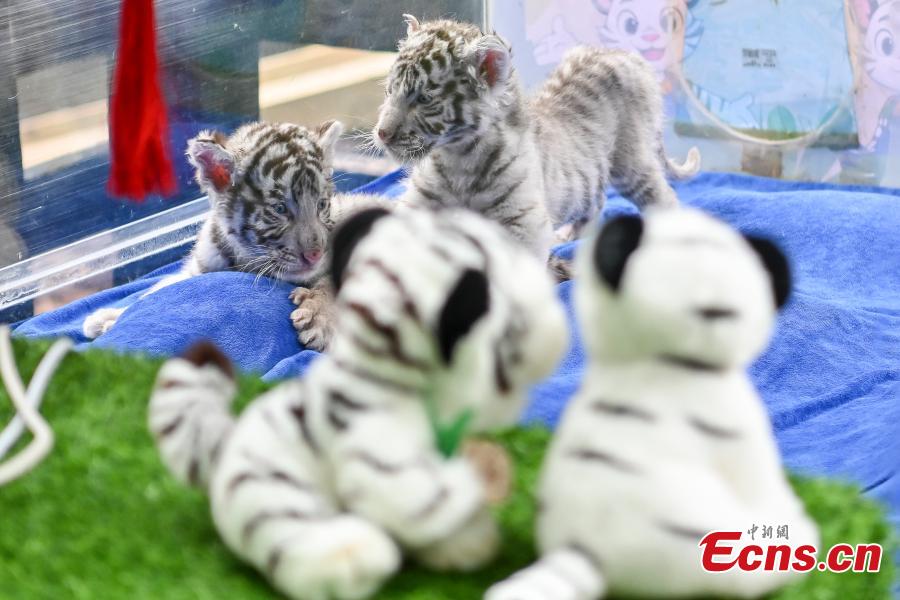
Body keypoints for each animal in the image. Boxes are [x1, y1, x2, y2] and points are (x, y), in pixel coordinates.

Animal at [82, 120, 347, 340]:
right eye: (280, 208)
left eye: (321, 205)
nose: (315, 255)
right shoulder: (199, 267)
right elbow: (157, 289)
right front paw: (106, 318)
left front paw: (318, 316)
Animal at [372, 15, 699, 258]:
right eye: (389, 91)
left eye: (424, 99)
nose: (382, 133)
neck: (458, 159)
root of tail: (625, 55)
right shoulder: (416, 205)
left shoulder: (523, 222)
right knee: (597, 199)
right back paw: (569, 234)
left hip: (631, 161)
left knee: (663, 196)